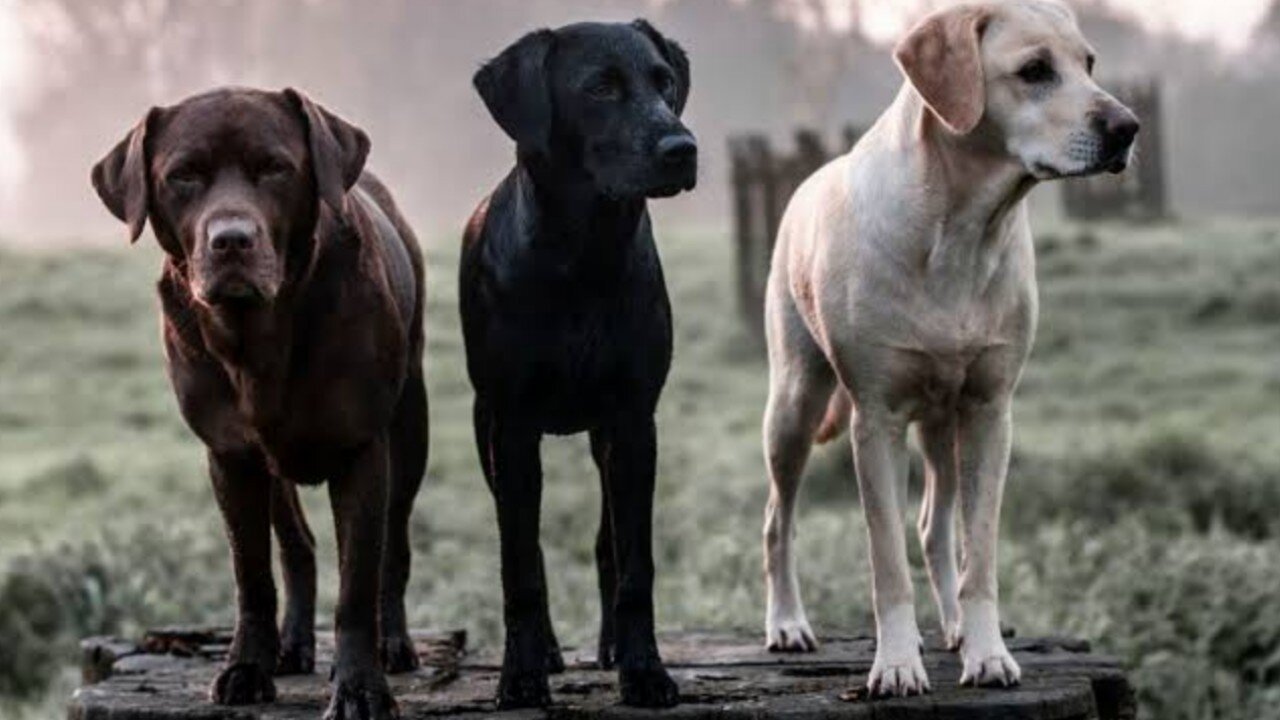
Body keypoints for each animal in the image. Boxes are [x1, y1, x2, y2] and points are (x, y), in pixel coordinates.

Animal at [460, 20, 696, 707]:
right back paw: (546, 650)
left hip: (602, 438)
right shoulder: (510, 428)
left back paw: (611, 648)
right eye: (599, 88)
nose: (682, 147)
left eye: (663, 82)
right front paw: (521, 675)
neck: (582, 257)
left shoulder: (634, 421)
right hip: (486, 432)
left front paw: (644, 670)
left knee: (606, 544)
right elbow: (520, 566)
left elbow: (634, 562)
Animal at [752, 0, 1136, 696]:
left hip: (944, 422)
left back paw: (955, 624)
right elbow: (886, 562)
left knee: (936, 527)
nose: (1127, 127)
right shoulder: (875, 421)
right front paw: (897, 664)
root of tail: (804, 181)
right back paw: (787, 623)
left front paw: (986, 653)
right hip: (794, 403)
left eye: (1089, 63)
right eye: (1035, 71)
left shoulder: (989, 411)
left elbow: (978, 553)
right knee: (778, 519)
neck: (961, 226)